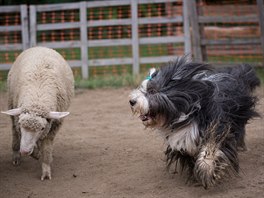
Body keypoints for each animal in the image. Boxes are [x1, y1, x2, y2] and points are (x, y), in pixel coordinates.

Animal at [1, 46, 73, 179]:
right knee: (14, 132)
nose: (24, 151)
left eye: (42, 128)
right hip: (11, 104)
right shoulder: (18, 121)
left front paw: (46, 169)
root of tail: (41, 47)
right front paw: (34, 153)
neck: (37, 97)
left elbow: (46, 148)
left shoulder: (53, 126)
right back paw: (16, 156)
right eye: (21, 125)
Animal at [128, 56, 260, 188]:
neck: (184, 114)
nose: (132, 101)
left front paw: (208, 170)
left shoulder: (217, 126)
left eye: (152, 91)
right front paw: (197, 175)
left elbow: (211, 147)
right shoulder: (182, 142)